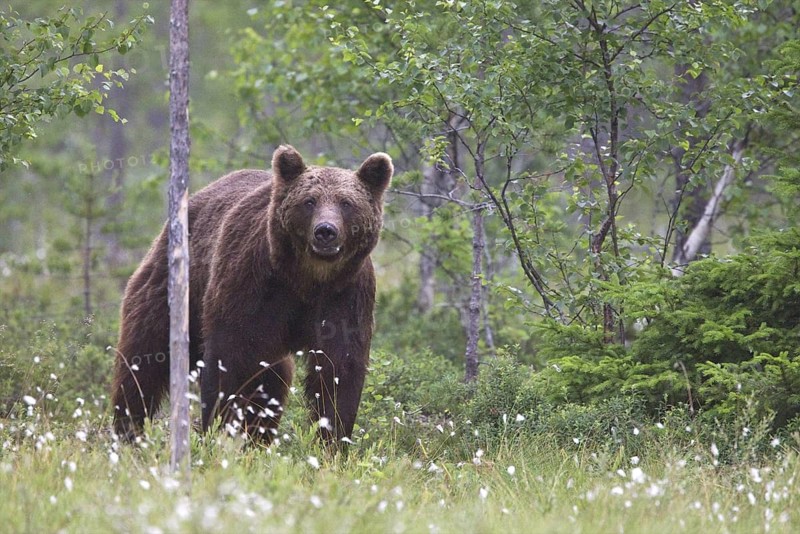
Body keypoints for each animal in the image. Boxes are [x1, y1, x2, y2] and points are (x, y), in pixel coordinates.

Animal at [110, 145, 393, 444]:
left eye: (346, 203)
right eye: (309, 201)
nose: (325, 231)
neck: (306, 279)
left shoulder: (345, 296)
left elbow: (339, 368)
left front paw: (333, 439)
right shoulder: (251, 285)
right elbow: (230, 356)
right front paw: (219, 428)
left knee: (274, 379)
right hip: (172, 286)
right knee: (143, 356)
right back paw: (128, 431)